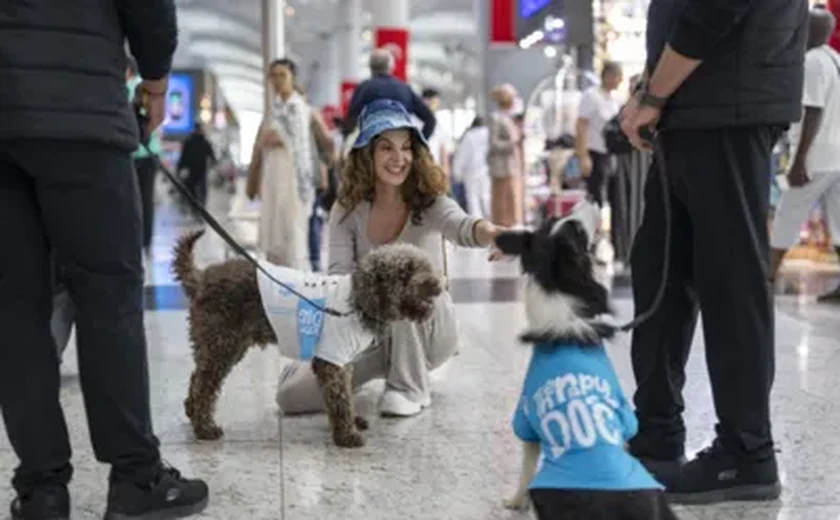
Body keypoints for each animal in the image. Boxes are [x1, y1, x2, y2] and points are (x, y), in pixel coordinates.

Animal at [173, 231, 442, 446]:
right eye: (406, 270)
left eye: (424, 264)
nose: (436, 284)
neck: (359, 301)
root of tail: (202, 279)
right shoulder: (331, 360)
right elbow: (340, 398)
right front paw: (346, 435)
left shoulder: (342, 361)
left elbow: (344, 395)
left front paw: (350, 423)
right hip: (221, 344)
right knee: (204, 386)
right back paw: (204, 428)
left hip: (225, 346)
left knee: (197, 378)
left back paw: (192, 413)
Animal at [496, 201, 680, 520]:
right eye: (578, 230)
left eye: (563, 220)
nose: (591, 200)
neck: (557, 291)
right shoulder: (527, 421)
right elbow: (526, 468)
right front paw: (517, 500)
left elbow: (526, 468)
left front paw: (517, 501)